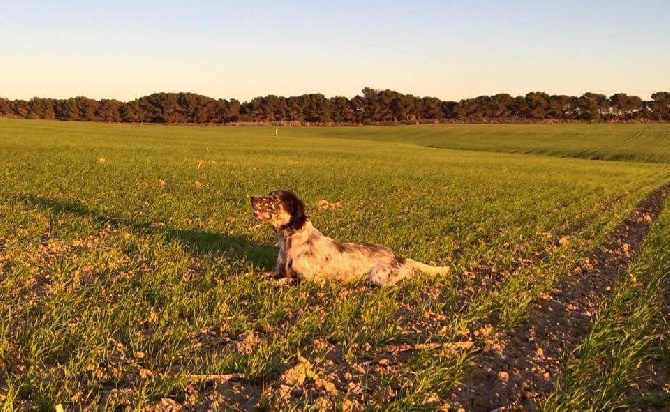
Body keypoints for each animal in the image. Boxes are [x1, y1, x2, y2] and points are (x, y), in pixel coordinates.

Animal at [251, 190, 452, 286]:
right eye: (268, 194)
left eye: (274, 198)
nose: (252, 197)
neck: (290, 241)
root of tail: (396, 256)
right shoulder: (278, 271)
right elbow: (259, 275)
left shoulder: (314, 279)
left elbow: (287, 280)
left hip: (378, 276)